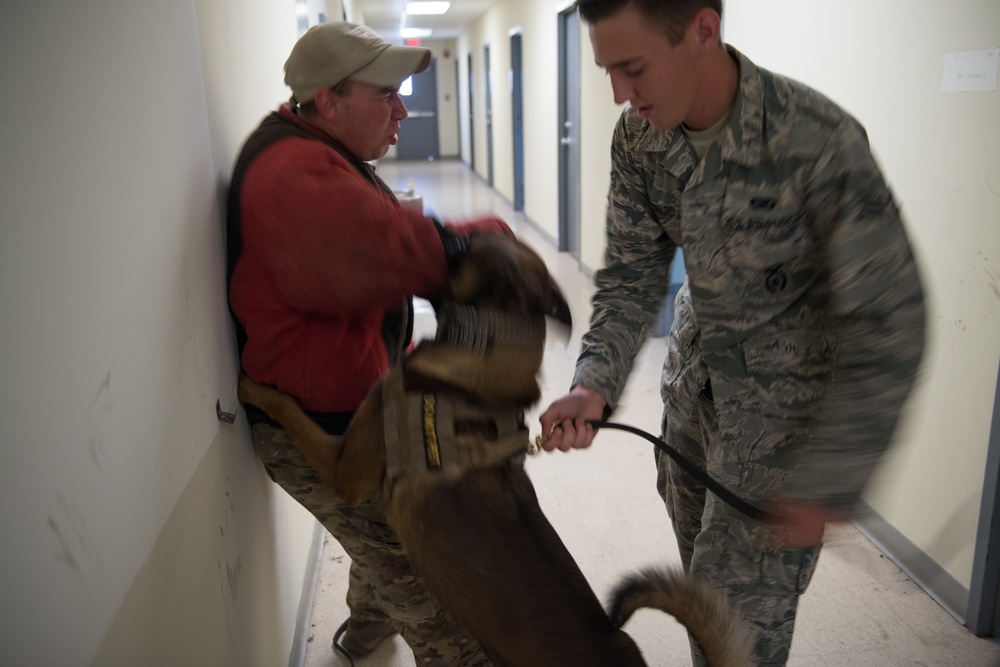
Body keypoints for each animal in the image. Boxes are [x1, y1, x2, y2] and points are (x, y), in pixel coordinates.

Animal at [238, 232, 748, 664]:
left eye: (463, 246)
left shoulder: (344, 467)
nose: (433, 225)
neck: (482, 354)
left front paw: (250, 388)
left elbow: (288, 407)